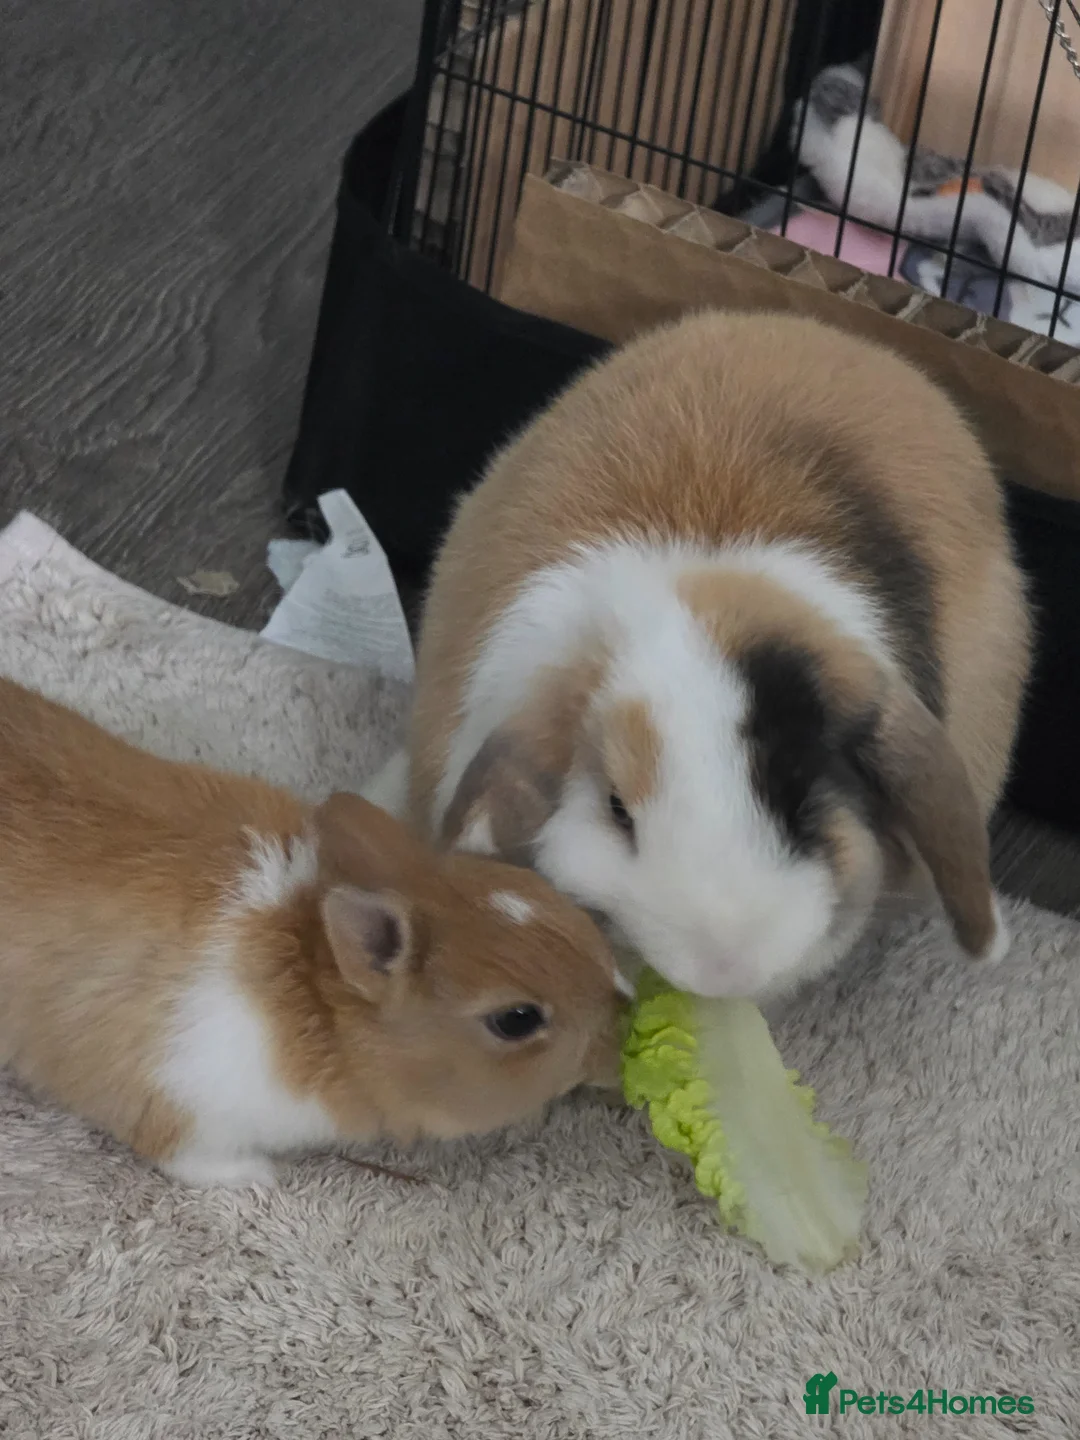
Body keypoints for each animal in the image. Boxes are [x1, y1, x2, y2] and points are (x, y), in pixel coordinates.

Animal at [0, 676, 621, 1187]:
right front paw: (258, 1177)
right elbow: (191, 1157)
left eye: (555, 902)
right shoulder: (184, 1102)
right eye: (516, 1019)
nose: (616, 1031)